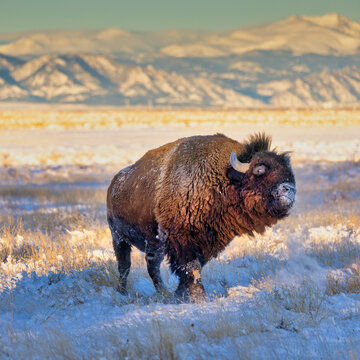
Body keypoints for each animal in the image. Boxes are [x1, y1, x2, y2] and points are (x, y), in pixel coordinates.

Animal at [106, 132, 296, 300]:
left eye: (289, 171)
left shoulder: (207, 242)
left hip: (153, 244)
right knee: (124, 265)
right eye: (259, 170)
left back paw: (163, 293)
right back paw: (122, 292)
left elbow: (193, 269)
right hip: (118, 237)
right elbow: (191, 268)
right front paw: (198, 297)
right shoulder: (183, 240)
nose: (289, 189)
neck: (223, 176)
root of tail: (114, 184)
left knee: (151, 265)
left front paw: (180, 294)